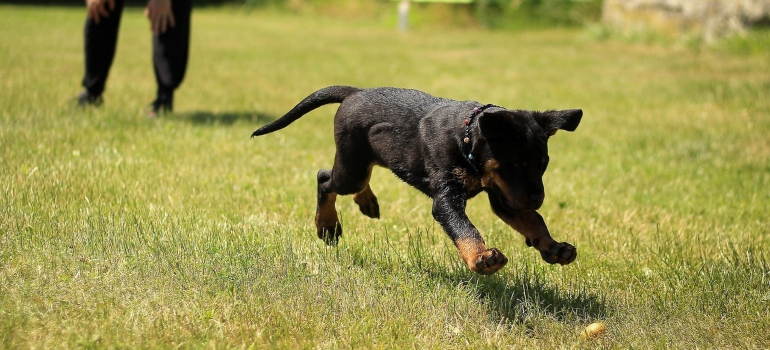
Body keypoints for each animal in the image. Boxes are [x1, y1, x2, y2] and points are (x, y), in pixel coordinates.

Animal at [249, 86, 580, 274]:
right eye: (515, 164)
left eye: (543, 165)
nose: (538, 198)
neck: (466, 137)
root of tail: (355, 92)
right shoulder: (448, 198)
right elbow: (465, 228)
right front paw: (481, 257)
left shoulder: (505, 195)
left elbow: (533, 220)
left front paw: (553, 247)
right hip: (351, 167)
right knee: (324, 179)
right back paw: (327, 225)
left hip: (365, 160)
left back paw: (366, 202)